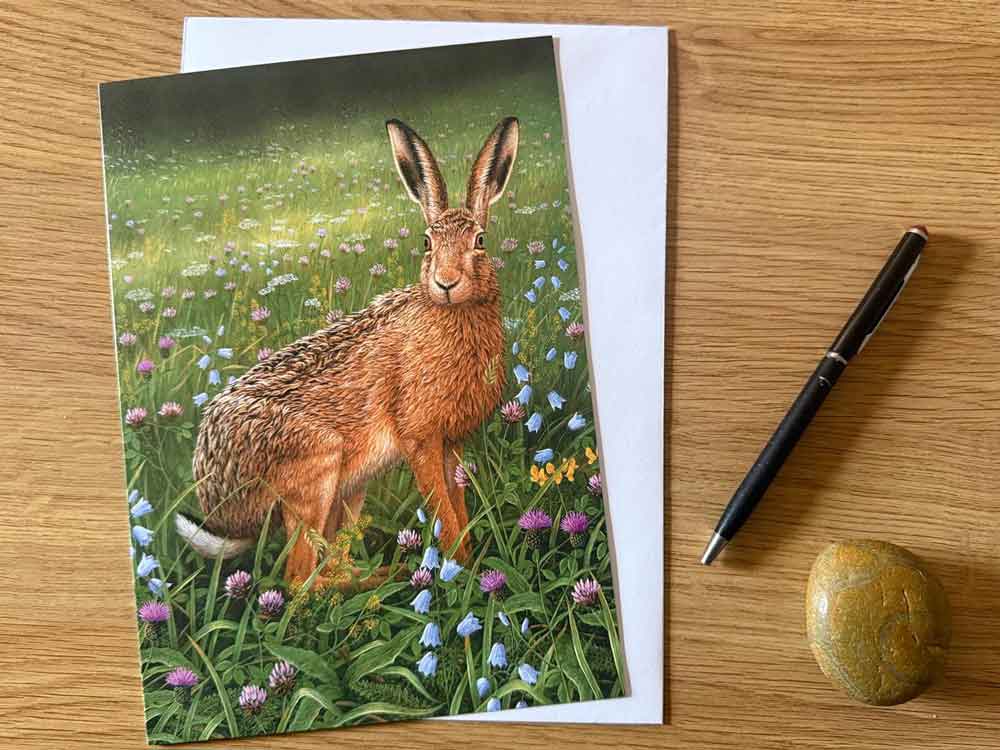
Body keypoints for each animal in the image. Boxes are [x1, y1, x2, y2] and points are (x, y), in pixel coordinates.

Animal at [175, 117, 520, 588]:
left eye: (480, 241)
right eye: (427, 243)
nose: (446, 283)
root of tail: (216, 500)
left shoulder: (452, 443)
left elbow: (458, 504)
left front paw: (469, 561)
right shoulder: (420, 438)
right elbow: (443, 510)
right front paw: (459, 568)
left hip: (348, 489)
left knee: (331, 563)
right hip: (313, 471)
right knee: (300, 581)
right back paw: (389, 577)